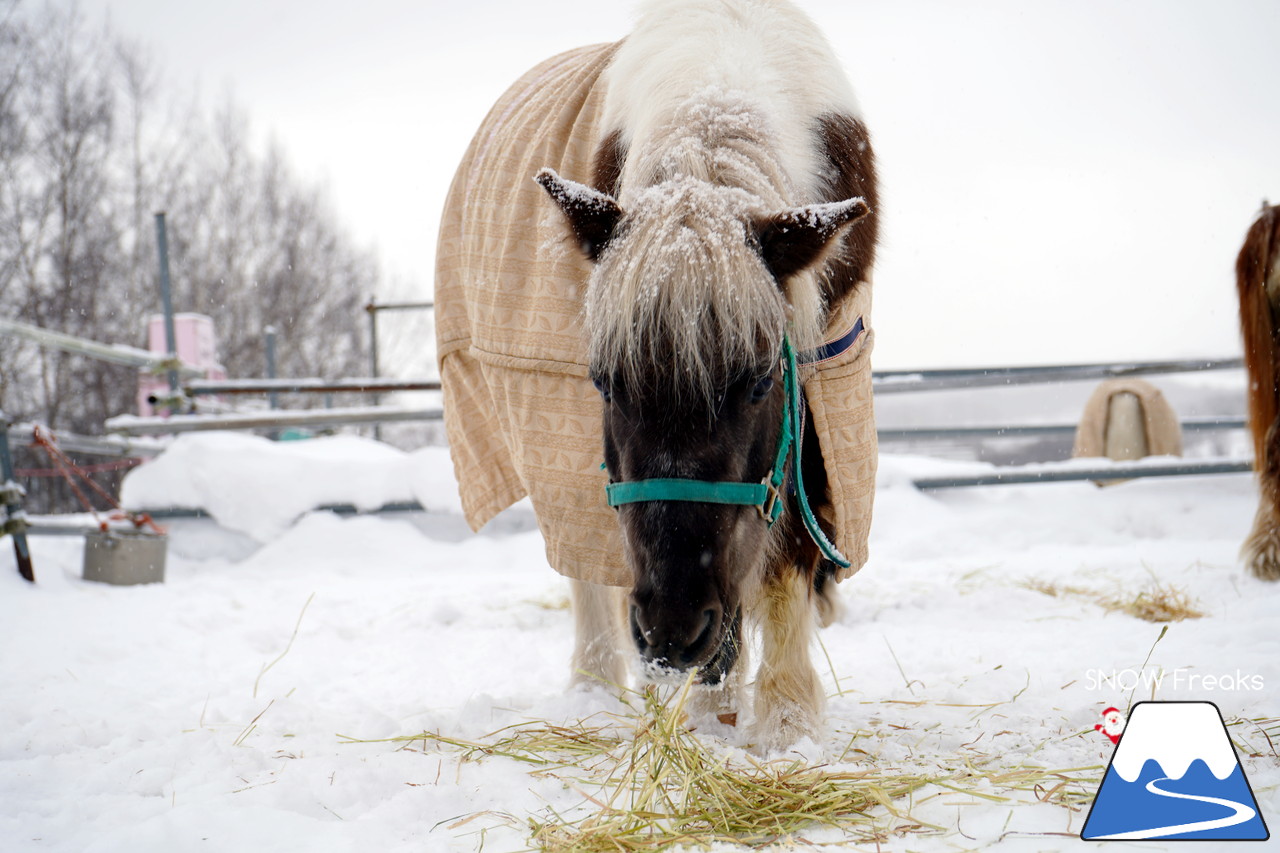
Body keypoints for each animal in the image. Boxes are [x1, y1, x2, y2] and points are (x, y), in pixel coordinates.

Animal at [435, 0, 875, 753]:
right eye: (605, 382)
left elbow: (785, 547)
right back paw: (598, 687)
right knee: (585, 567)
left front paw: (784, 721)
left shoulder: (820, 376)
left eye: (759, 383)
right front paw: (711, 711)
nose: (673, 632)